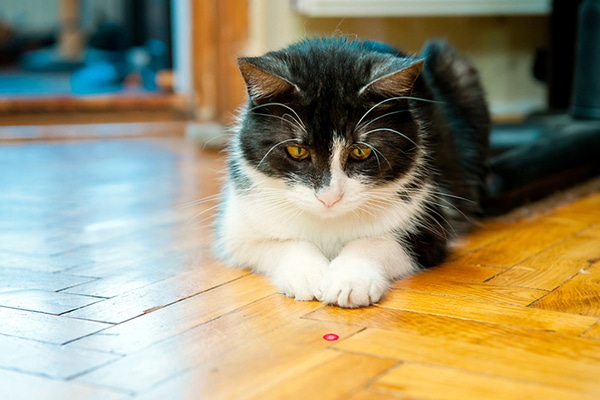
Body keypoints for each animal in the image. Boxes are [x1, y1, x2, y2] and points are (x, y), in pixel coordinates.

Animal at [213, 36, 490, 308]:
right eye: (297, 151)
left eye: (360, 152)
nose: (329, 198)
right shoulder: (238, 226)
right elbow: (275, 242)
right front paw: (308, 275)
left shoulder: (428, 219)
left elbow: (380, 241)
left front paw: (351, 279)